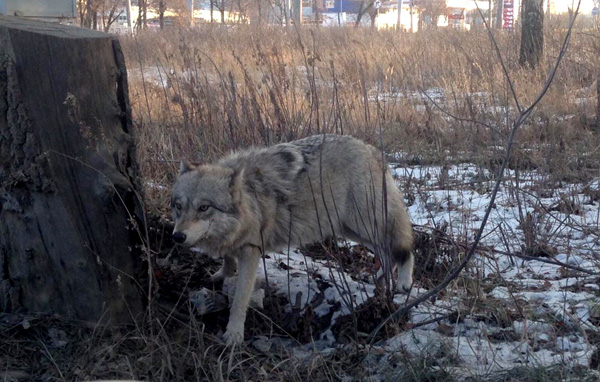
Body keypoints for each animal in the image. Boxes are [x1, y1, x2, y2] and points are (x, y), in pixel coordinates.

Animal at [169, 135, 412, 346]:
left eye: (203, 208)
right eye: (178, 206)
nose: (177, 237)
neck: (249, 199)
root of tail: (374, 151)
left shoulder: (250, 251)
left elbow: (239, 300)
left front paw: (234, 335)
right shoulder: (232, 242)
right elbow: (228, 258)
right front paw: (221, 274)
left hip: (364, 224)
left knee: (404, 245)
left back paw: (403, 282)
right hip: (351, 230)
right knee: (386, 252)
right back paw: (380, 280)